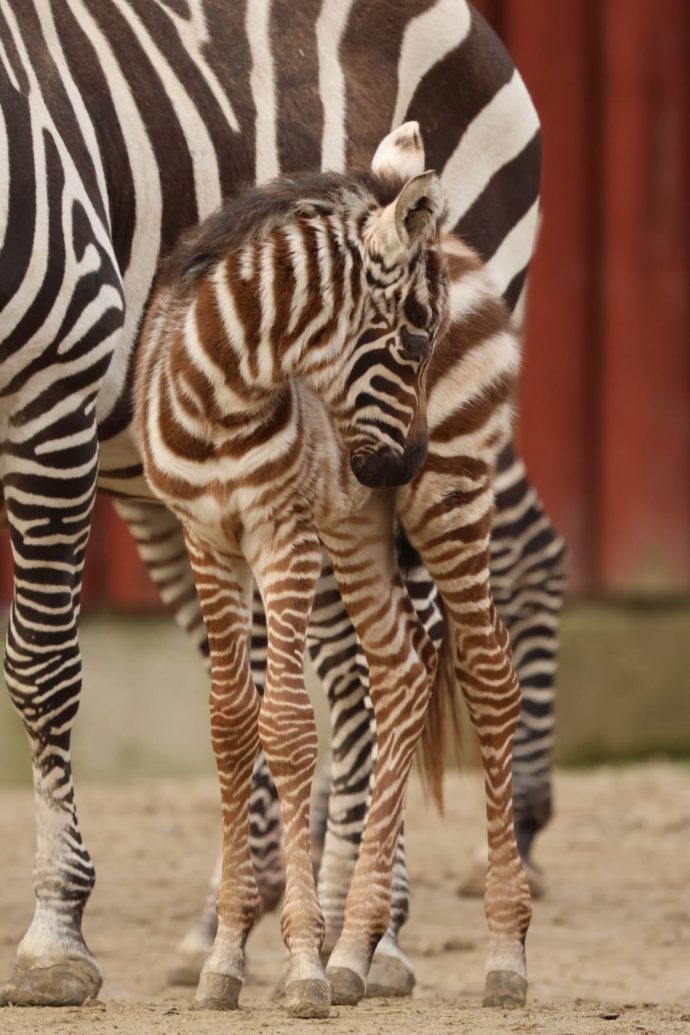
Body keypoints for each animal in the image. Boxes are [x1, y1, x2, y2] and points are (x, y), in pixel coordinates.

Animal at [0, 0, 565, 1010]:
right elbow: (242, 705)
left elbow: (43, 664)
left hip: (423, 480)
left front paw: (55, 937)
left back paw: (385, 932)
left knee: (429, 647)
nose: (402, 460)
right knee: (343, 668)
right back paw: (285, 915)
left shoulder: (56, 367)